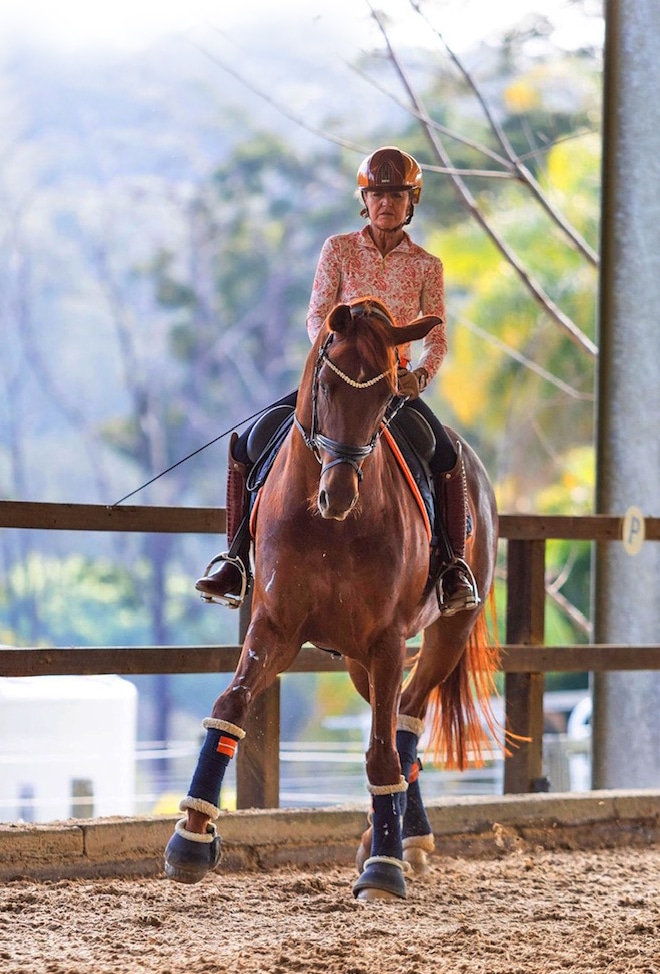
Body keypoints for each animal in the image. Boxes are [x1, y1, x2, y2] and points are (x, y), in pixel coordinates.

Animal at [165, 296, 500, 900]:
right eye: (325, 384)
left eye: (387, 395)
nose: (338, 494)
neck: (330, 528)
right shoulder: (275, 628)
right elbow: (229, 708)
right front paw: (192, 839)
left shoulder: (388, 640)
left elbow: (381, 753)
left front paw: (384, 871)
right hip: (358, 662)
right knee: (395, 719)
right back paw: (394, 836)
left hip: (443, 635)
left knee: (406, 720)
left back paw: (398, 845)